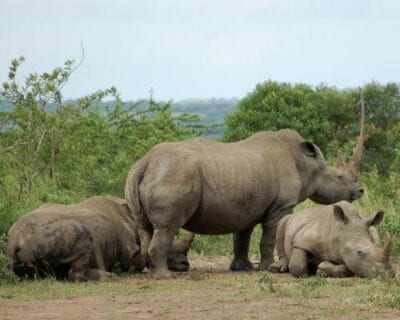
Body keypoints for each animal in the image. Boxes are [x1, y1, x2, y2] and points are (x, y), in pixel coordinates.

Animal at [6, 196, 194, 282]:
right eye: (170, 248)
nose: (185, 265)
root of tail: (14, 241)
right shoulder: (130, 254)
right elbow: (139, 263)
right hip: (51, 234)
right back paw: (108, 276)